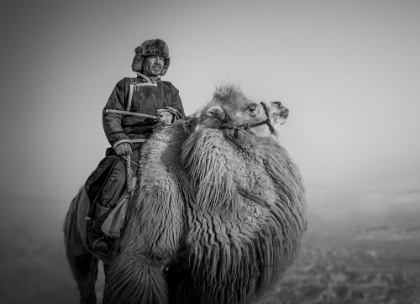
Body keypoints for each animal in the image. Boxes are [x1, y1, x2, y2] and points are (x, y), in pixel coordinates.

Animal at [62, 83, 306, 304]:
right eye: (251, 108)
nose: (281, 106)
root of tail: (76, 199)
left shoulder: (188, 272)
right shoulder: (141, 260)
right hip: (77, 248)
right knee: (85, 281)